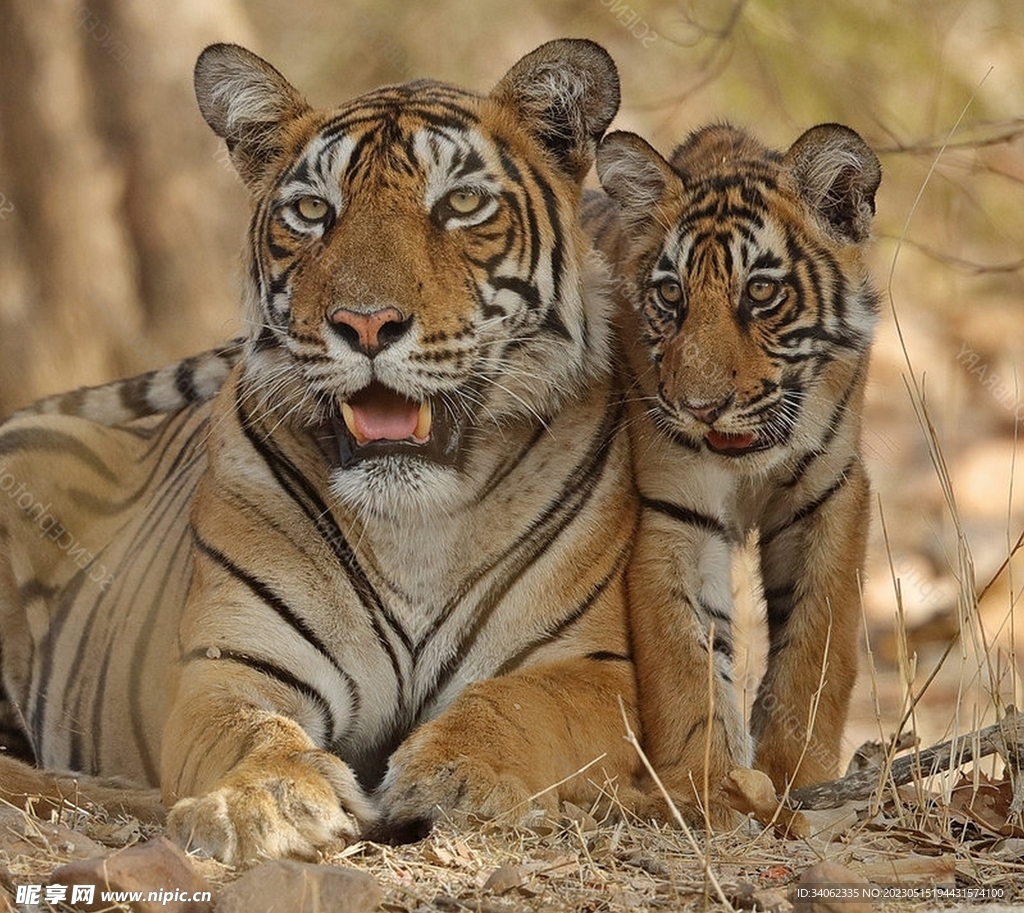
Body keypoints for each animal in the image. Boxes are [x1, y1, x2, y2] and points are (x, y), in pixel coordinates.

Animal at [0, 39, 645, 864]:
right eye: (312, 212)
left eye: (461, 204)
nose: (366, 323)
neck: (415, 524)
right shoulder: (235, 664)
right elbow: (253, 731)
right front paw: (269, 800)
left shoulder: (591, 668)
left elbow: (516, 706)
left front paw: (457, 775)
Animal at [583, 122, 881, 821]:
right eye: (671, 294)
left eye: (761, 292)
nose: (700, 406)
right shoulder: (674, 513)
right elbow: (686, 664)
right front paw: (707, 788)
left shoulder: (829, 496)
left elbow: (817, 646)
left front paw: (796, 776)